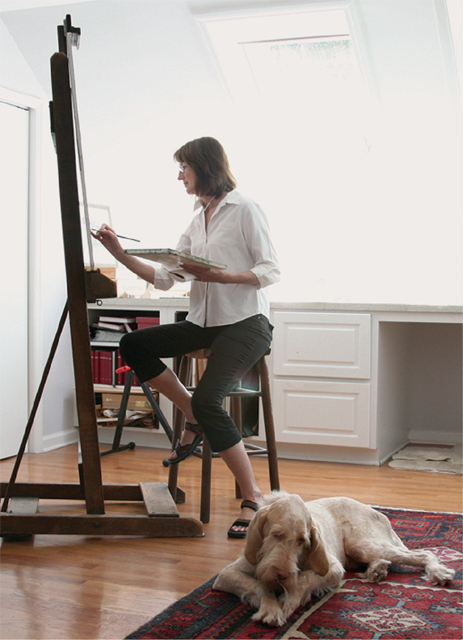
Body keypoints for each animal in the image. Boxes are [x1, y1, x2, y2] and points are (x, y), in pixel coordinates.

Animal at [215, 492, 456, 628]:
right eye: (276, 534)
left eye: (303, 540)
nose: (282, 575)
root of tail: (379, 513)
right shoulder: (226, 575)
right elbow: (259, 585)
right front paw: (270, 608)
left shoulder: (333, 569)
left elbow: (303, 580)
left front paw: (287, 602)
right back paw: (377, 569)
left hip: (362, 544)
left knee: (424, 554)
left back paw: (438, 571)